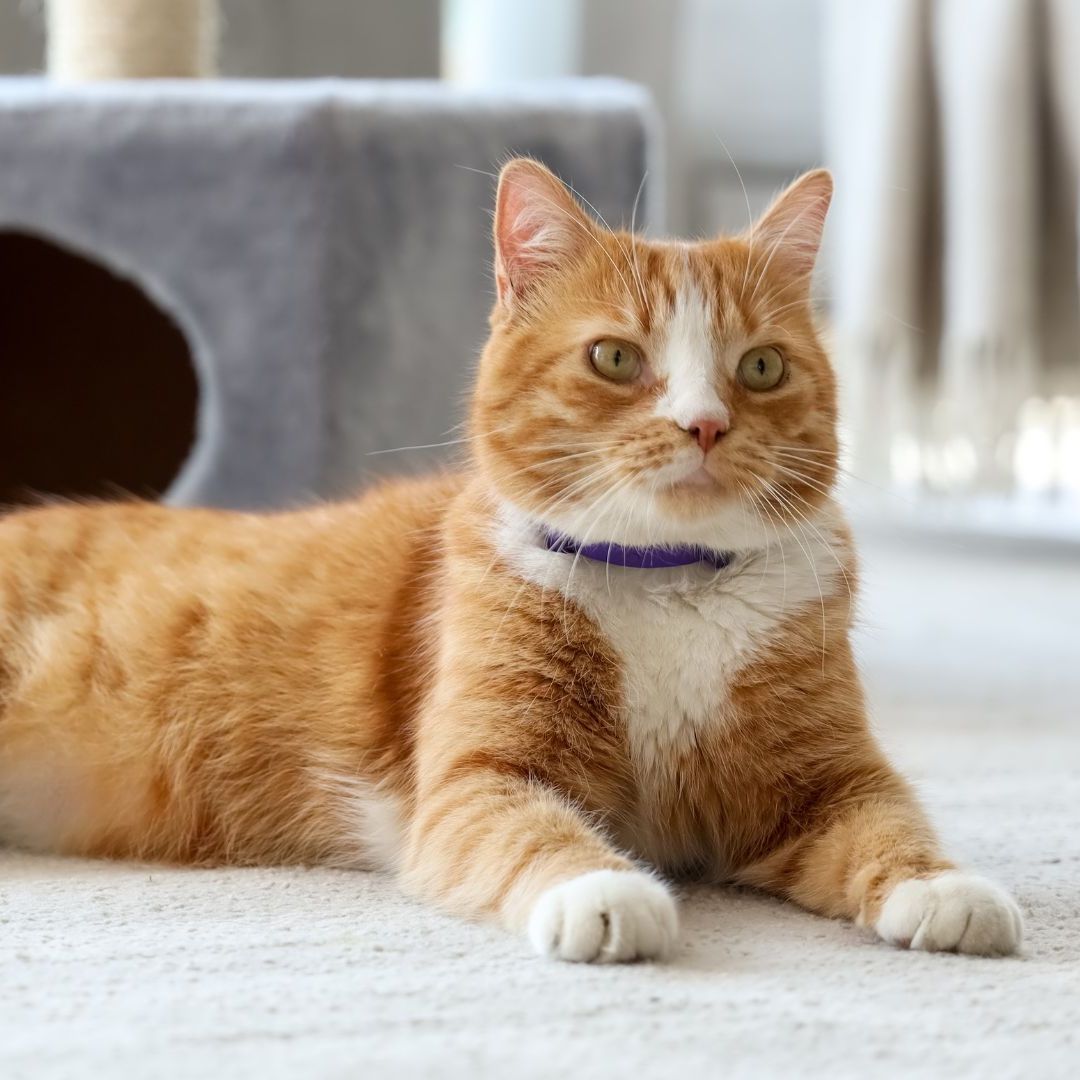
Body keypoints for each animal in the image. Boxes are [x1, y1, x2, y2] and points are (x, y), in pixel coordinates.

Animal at [0, 157, 1019, 963]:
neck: (666, 585)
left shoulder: (829, 779)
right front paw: (605, 891)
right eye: (616, 358)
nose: (704, 424)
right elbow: (536, 833)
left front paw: (944, 887)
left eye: (761, 368)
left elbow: (889, 820)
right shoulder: (476, 780)